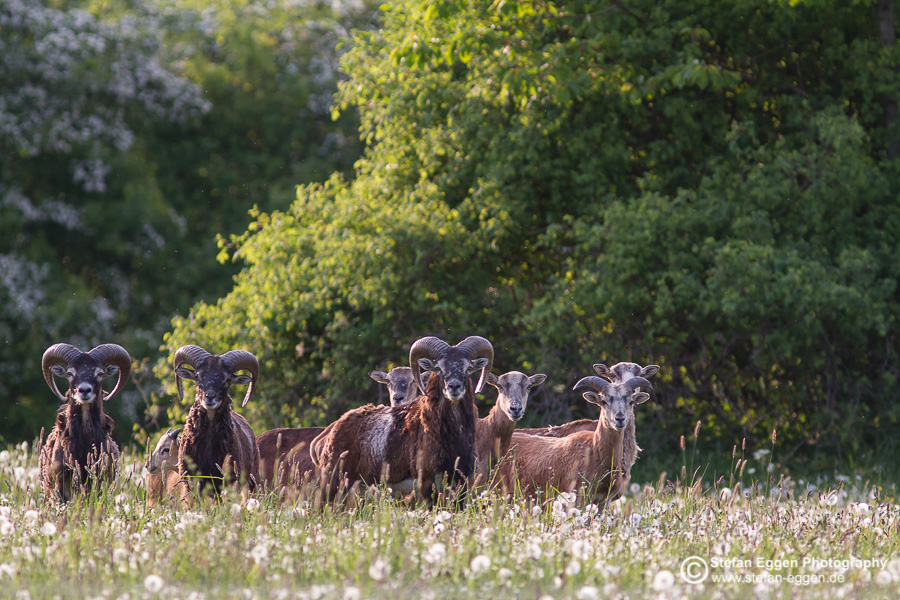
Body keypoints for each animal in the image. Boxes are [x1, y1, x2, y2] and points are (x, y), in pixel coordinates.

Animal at [308, 336, 492, 504]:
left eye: (468, 368)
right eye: (438, 368)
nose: (454, 387)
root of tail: (331, 432)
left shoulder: (460, 481)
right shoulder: (426, 481)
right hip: (333, 485)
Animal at [500, 378, 652, 504]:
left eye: (631, 401)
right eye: (603, 401)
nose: (619, 419)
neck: (595, 451)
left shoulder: (603, 501)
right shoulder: (578, 496)